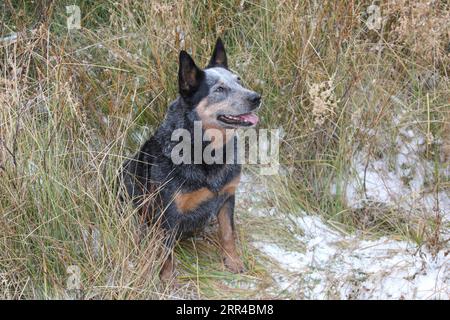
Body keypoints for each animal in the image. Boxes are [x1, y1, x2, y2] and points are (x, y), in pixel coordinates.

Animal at [120, 38, 260, 280]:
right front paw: (167, 278)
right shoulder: (169, 211)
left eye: (239, 81)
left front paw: (233, 262)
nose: (256, 97)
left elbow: (228, 234)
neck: (208, 154)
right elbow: (166, 250)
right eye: (220, 89)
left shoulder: (227, 197)